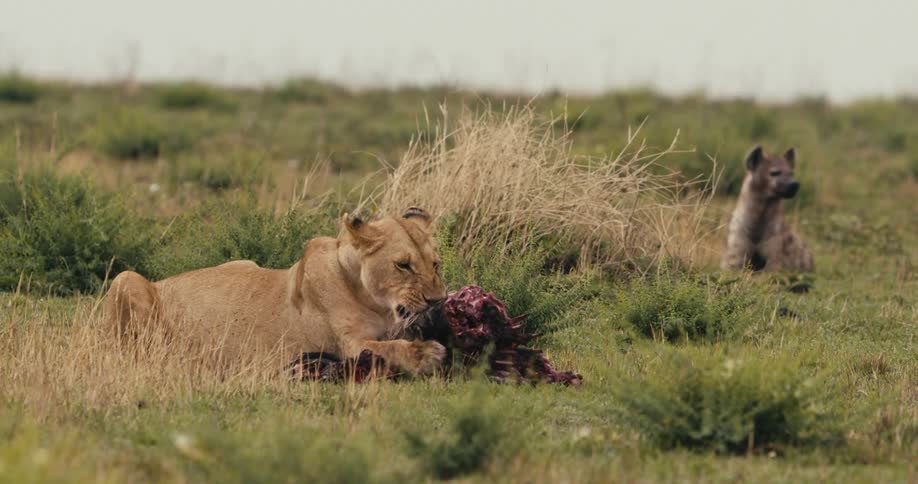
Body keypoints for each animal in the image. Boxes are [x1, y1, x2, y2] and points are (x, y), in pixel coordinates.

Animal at [104, 207, 448, 375]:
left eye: (436, 264)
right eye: (403, 265)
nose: (438, 300)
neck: (375, 303)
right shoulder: (349, 347)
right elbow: (387, 349)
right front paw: (426, 354)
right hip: (125, 279)